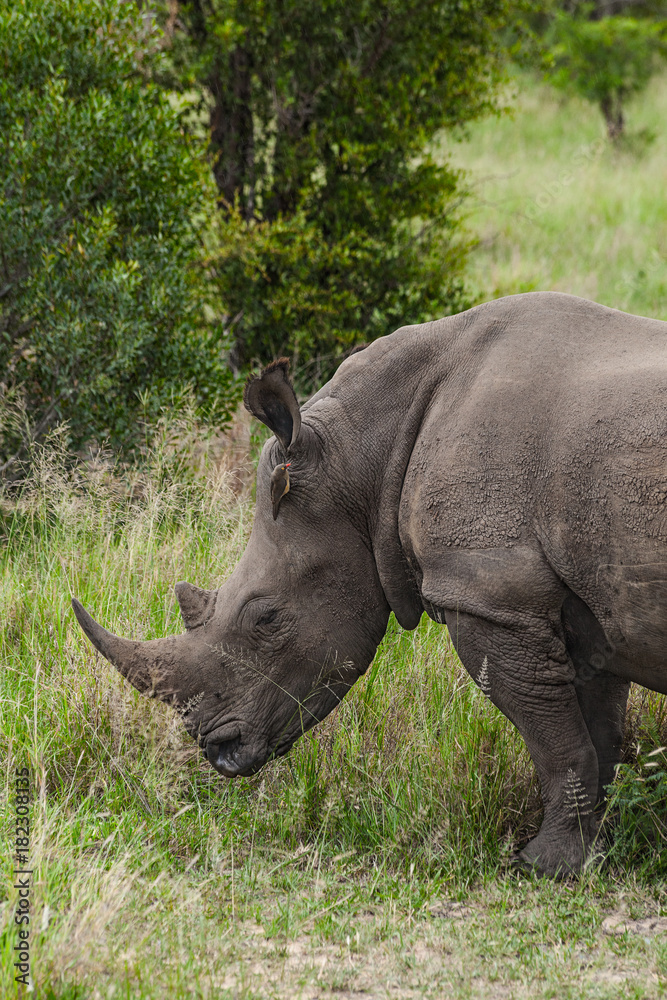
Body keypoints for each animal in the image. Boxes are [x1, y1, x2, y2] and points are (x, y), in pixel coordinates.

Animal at [73, 291, 667, 876]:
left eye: (267, 618)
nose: (217, 749)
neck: (362, 455)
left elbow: (556, 743)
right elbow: (597, 737)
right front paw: (592, 854)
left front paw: (543, 867)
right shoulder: (585, 600)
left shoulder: (488, 598)